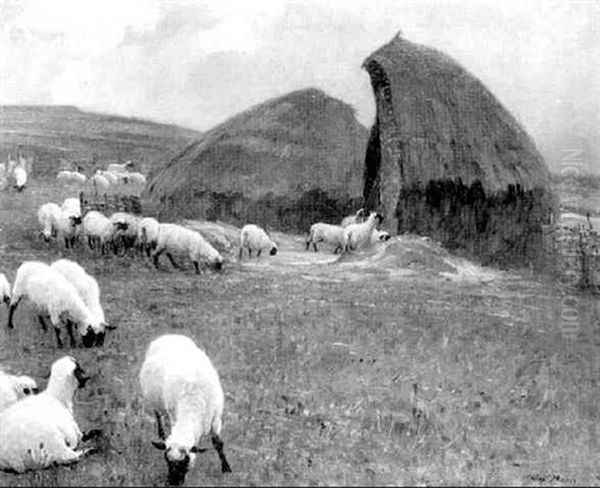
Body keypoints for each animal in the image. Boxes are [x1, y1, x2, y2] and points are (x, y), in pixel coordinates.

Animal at [140, 334, 232, 486]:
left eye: (185, 460)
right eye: (166, 460)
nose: (173, 483)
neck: (192, 404)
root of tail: (168, 335)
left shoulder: (216, 419)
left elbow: (218, 444)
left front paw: (226, 469)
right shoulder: (173, 416)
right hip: (155, 403)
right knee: (158, 417)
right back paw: (161, 434)